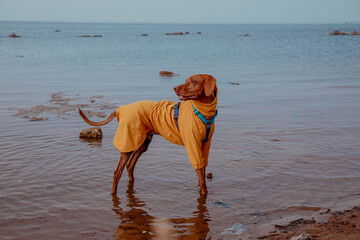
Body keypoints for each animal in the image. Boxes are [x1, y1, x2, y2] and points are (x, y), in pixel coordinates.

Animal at [79, 73, 218, 195]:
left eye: (193, 81)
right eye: (186, 80)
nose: (175, 88)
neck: (203, 113)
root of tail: (120, 109)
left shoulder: (205, 145)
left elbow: (202, 173)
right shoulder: (193, 145)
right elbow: (201, 175)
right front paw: (204, 193)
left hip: (142, 143)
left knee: (130, 166)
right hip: (128, 143)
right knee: (117, 172)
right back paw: (113, 193)